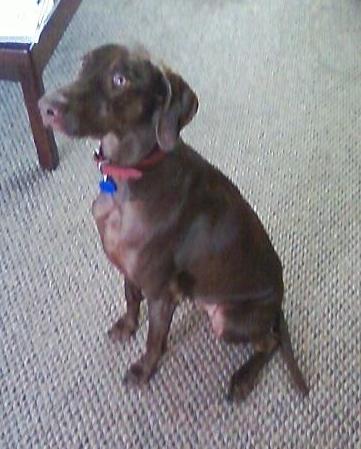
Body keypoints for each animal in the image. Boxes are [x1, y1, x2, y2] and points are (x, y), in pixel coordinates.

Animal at [38, 43, 306, 400]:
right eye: (84, 64)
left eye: (120, 79)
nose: (45, 106)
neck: (130, 175)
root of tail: (278, 303)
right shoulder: (131, 270)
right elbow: (130, 298)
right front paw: (127, 326)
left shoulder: (161, 293)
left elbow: (154, 339)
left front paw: (143, 370)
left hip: (229, 319)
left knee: (270, 341)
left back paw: (243, 378)